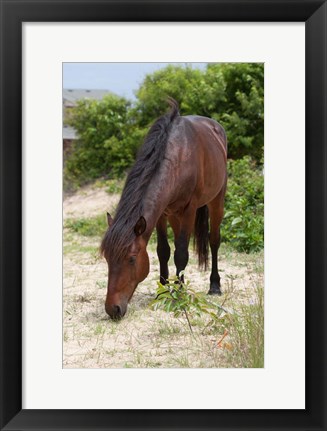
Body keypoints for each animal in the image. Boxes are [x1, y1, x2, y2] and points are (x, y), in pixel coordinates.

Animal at [101, 98, 227, 320]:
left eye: (131, 259)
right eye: (107, 258)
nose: (112, 309)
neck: (178, 156)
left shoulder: (189, 210)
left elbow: (181, 253)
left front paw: (179, 294)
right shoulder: (160, 214)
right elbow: (164, 251)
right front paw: (163, 291)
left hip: (216, 200)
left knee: (213, 240)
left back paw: (214, 286)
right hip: (174, 214)